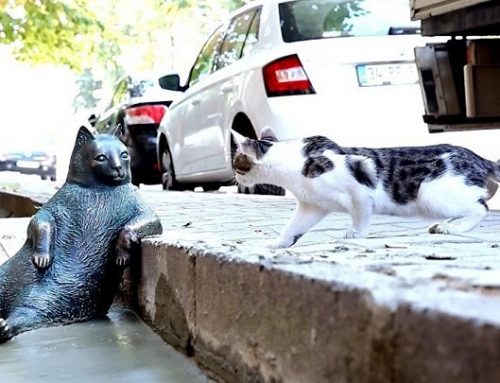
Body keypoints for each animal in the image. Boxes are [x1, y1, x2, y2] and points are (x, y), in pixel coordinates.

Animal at [233, 129, 500, 249]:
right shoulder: (313, 205)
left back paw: (451, 228)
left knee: (481, 208)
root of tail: (477, 158)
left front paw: (356, 234)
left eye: (237, 163)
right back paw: (445, 225)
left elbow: (361, 214)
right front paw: (276, 244)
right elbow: (293, 228)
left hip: (431, 193)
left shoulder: (361, 188)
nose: (234, 176)